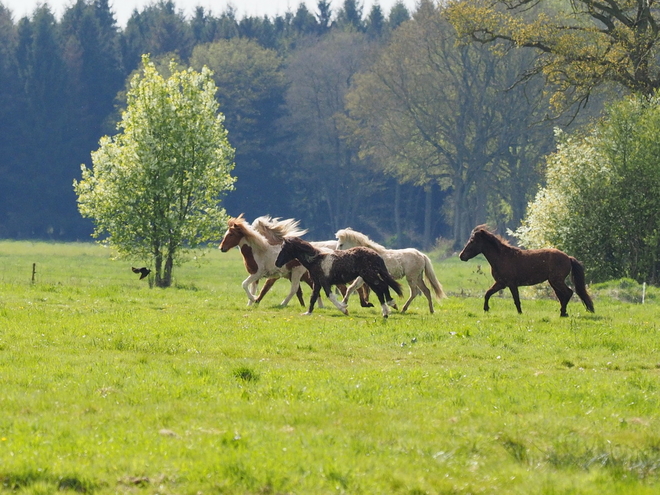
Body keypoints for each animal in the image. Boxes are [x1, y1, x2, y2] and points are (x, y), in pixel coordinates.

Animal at [274, 236, 402, 318]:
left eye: (284, 249)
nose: (277, 263)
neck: (315, 260)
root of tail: (376, 255)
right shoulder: (317, 283)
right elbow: (313, 297)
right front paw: (308, 313)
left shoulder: (325, 282)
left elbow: (330, 296)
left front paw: (344, 309)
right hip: (369, 277)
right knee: (383, 287)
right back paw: (389, 308)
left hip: (369, 276)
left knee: (380, 289)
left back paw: (386, 311)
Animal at [458, 226, 592, 318]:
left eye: (472, 241)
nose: (461, 256)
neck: (502, 257)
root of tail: (568, 258)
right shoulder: (501, 283)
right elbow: (487, 293)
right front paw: (486, 309)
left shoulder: (511, 284)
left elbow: (516, 300)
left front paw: (520, 313)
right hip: (554, 282)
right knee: (563, 296)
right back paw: (564, 313)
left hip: (556, 281)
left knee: (568, 293)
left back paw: (562, 313)